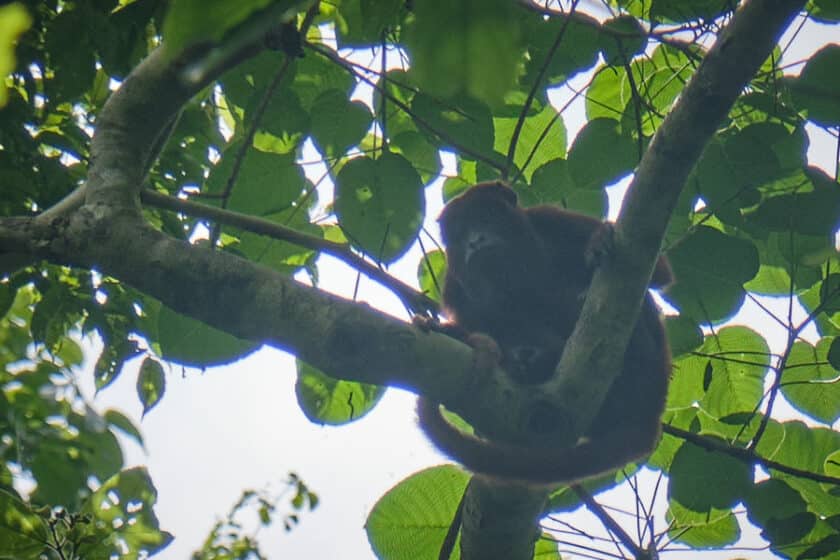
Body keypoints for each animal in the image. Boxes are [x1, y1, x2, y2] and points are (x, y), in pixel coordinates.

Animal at [417, 180, 673, 485]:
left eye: (485, 217)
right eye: (460, 232)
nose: (475, 241)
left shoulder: (553, 219)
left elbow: (659, 273)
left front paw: (599, 240)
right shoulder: (454, 288)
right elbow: (484, 324)